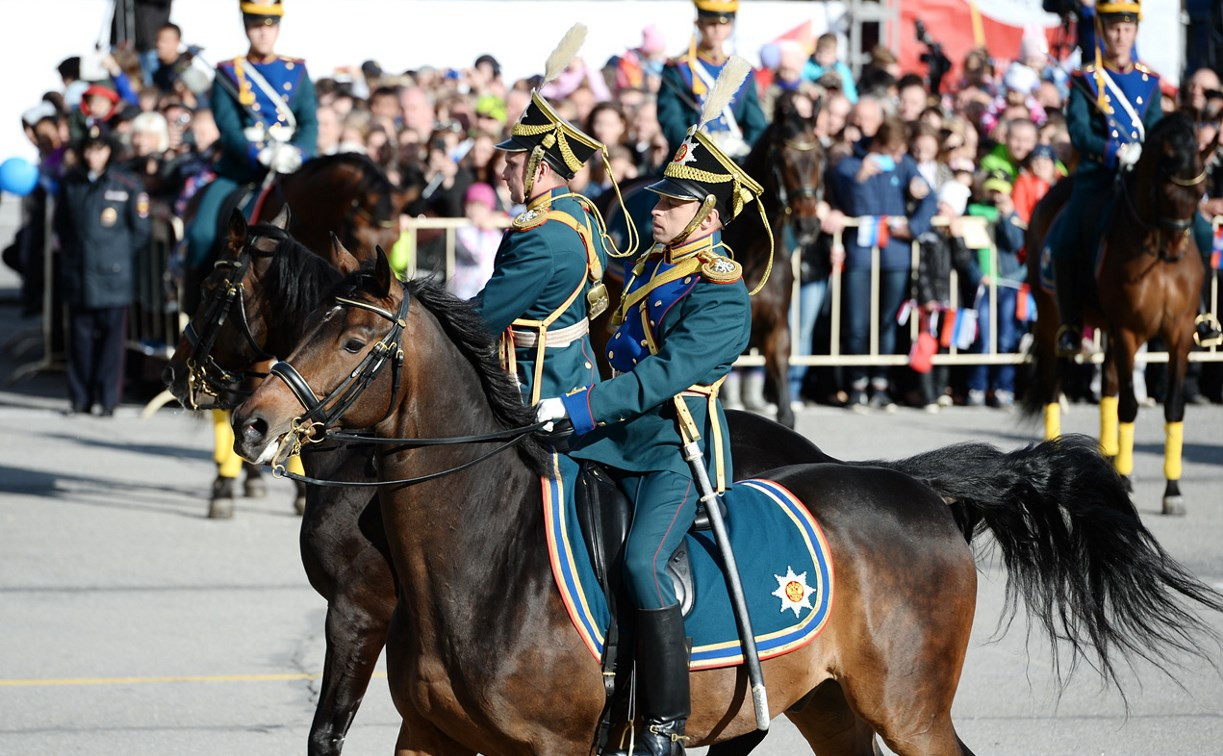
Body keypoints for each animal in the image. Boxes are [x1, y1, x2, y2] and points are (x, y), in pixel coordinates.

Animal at [229, 247, 1223, 753]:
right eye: (309, 323)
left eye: (354, 339)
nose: (251, 418)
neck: (484, 558)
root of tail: (910, 483)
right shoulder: (429, 739)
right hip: (828, 707)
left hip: (909, 711)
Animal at [594, 89, 821, 430]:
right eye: (783, 158)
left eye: (821, 157)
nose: (809, 226)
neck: (752, 254)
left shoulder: (778, 333)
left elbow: (785, 410)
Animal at [1027, 111, 1208, 511]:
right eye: (1166, 191)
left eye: (1201, 192)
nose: (1177, 250)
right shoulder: (1128, 331)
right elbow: (1128, 406)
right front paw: (1126, 479)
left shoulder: (1180, 334)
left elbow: (1173, 407)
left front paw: (1172, 490)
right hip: (1052, 321)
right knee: (1052, 386)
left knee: (1107, 384)